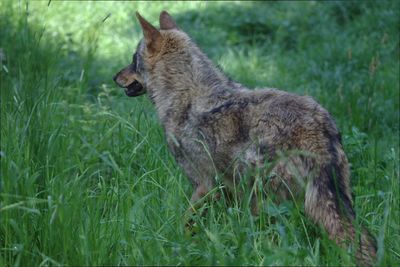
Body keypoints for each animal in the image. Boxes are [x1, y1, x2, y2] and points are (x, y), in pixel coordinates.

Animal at [113, 9, 378, 266]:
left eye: (133, 60)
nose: (115, 77)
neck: (185, 95)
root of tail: (316, 124)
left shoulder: (204, 186)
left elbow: (184, 224)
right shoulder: (225, 190)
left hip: (263, 195)